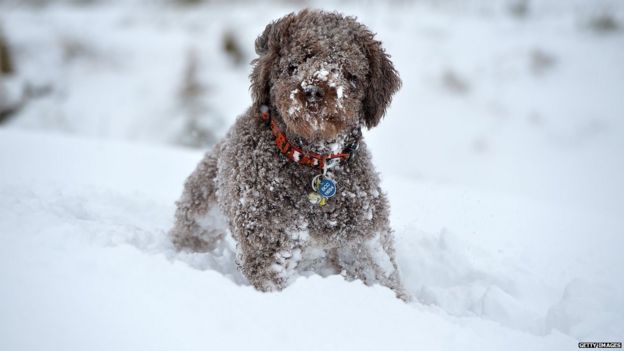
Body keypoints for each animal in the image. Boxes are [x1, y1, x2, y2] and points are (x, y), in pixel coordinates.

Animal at [169, 8, 410, 300]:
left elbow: (384, 278)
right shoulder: (271, 243)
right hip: (200, 215)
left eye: (347, 71)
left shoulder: (365, 240)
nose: (313, 90)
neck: (314, 160)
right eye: (295, 63)